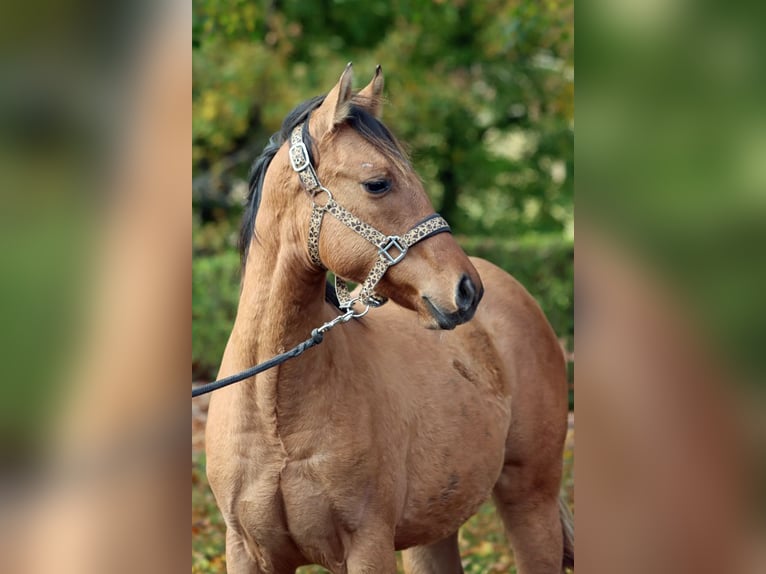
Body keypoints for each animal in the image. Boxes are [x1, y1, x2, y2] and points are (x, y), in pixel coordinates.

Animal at [205, 64, 573, 574]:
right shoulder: (246, 551)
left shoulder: (367, 545)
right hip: (433, 531)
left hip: (530, 500)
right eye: (378, 183)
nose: (467, 290)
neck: (272, 409)